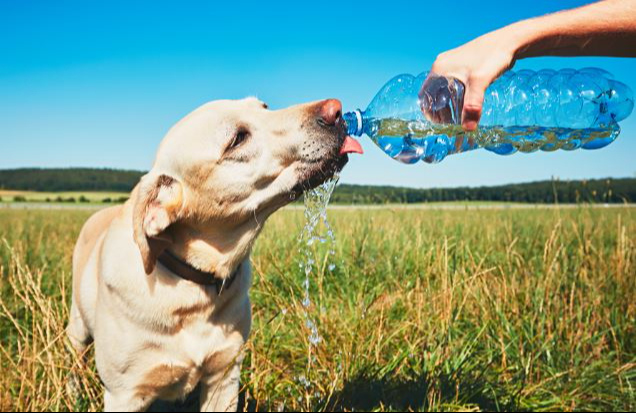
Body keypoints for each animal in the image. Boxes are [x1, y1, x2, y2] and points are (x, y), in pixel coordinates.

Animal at [66, 98, 362, 410]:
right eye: (238, 139)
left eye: (264, 107)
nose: (336, 110)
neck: (193, 288)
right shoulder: (124, 394)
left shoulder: (225, 375)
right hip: (77, 327)